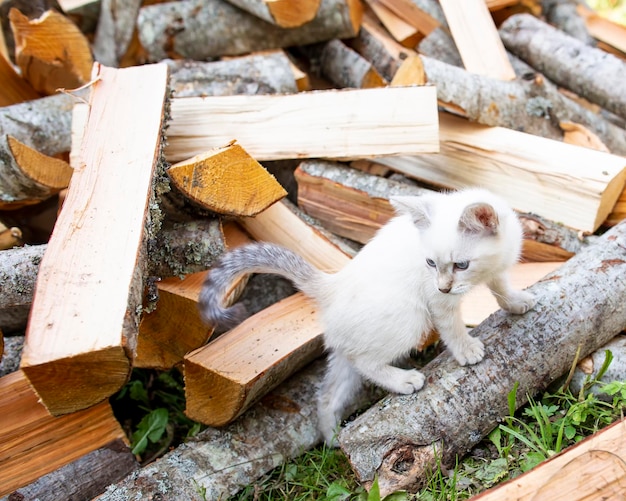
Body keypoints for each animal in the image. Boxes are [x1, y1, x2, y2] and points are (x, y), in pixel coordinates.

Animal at [197, 188, 532, 442]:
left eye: (461, 265)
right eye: (430, 263)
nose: (444, 285)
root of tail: (332, 287)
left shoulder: (496, 270)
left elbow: (501, 288)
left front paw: (516, 303)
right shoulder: (438, 302)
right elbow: (452, 327)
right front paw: (466, 350)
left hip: (346, 349)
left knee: (330, 392)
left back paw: (332, 439)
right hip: (409, 319)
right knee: (367, 362)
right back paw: (403, 380)